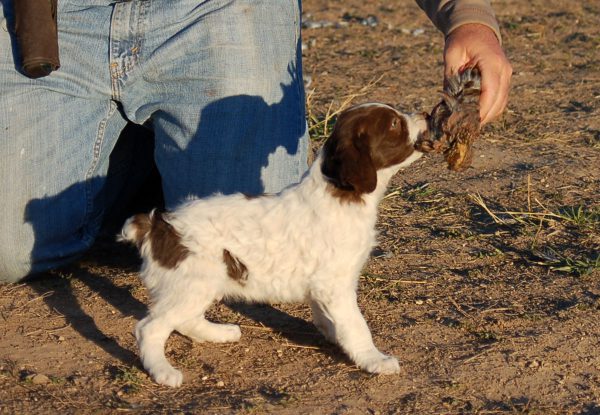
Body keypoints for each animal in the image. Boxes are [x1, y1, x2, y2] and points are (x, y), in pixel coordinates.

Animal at [119, 103, 426, 386]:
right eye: (394, 124)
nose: (423, 115)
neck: (339, 195)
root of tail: (157, 225)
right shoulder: (335, 285)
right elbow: (356, 325)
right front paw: (374, 360)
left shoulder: (322, 286)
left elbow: (328, 318)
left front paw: (333, 334)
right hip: (192, 282)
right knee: (150, 328)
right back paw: (163, 372)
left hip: (200, 283)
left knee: (184, 319)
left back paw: (220, 333)